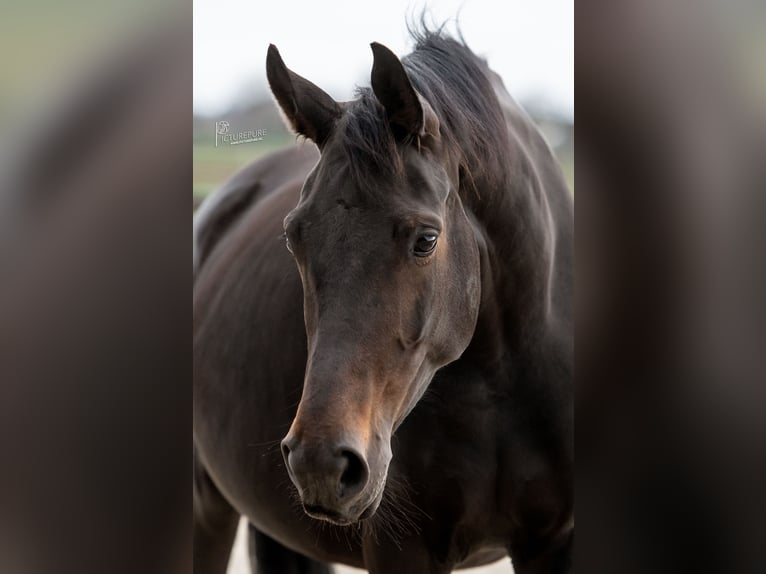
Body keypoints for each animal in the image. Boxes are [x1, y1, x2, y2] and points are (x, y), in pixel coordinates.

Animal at [195, 31, 572, 574]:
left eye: (427, 240)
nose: (321, 463)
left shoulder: (554, 540)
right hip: (209, 506)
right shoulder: (403, 549)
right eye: (293, 236)